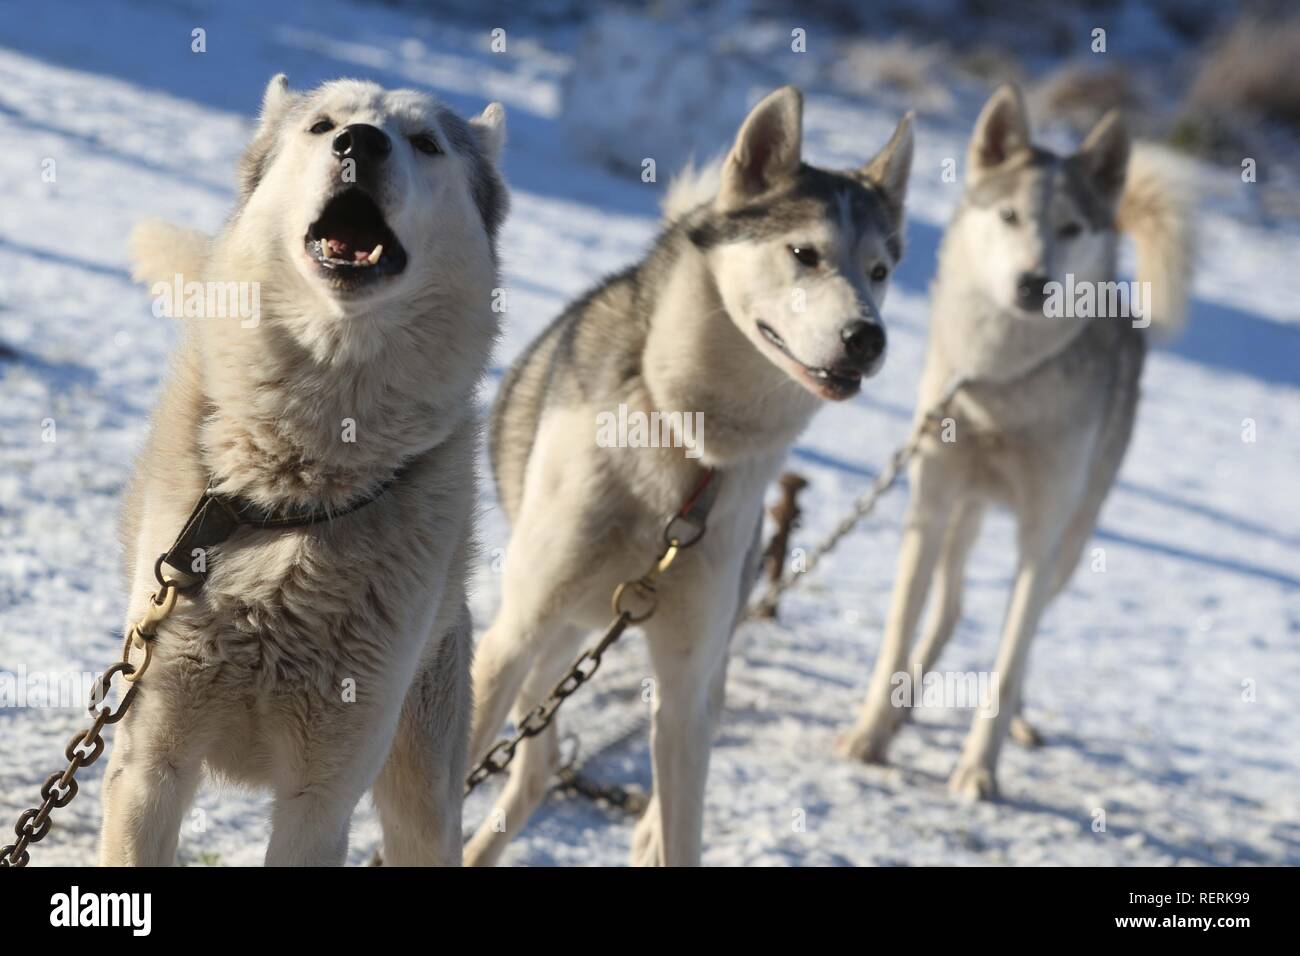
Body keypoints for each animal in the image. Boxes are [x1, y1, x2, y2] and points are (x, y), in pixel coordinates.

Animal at [100, 76, 506, 868]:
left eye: (425, 143)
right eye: (323, 126)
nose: (361, 142)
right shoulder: (149, 763)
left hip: (421, 801)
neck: (295, 495)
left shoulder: (321, 800)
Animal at [467, 87, 915, 868]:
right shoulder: (510, 640)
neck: (690, 447)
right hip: (542, 640)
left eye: (880, 270)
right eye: (804, 253)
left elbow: (682, 829)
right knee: (534, 763)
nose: (868, 337)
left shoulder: (683, 688)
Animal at [842, 85, 1190, 801]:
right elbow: (897, 634)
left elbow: (1007, 665)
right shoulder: (928, 507)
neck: (998, 383)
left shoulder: (1040, 539)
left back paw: (1015, 723)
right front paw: (868, 735)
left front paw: (978, 772)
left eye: (1071, 228)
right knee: (950, 609)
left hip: (1069, 545)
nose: (1034, 282)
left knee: (1020, 637)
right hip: (961, 520)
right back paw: (900, 713)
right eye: (1008, 215)